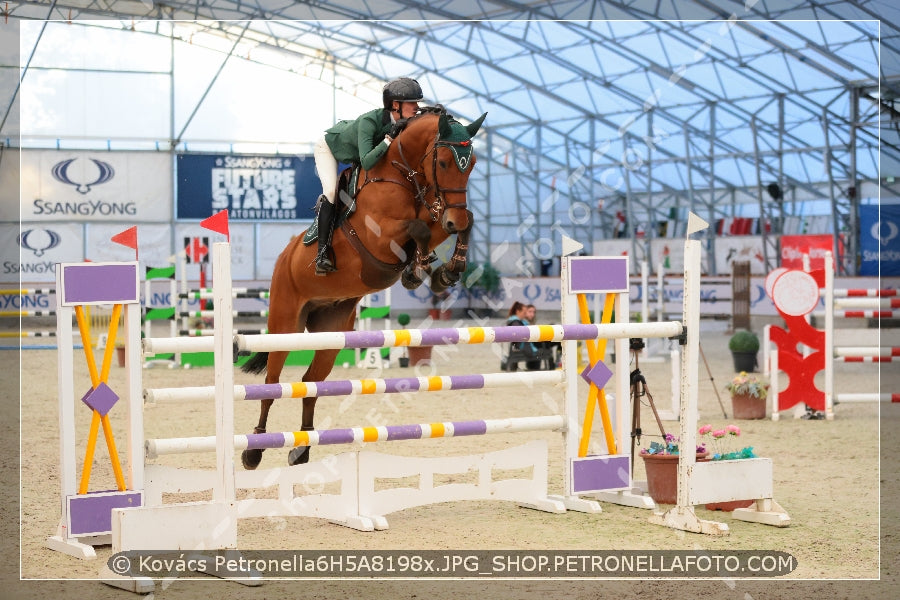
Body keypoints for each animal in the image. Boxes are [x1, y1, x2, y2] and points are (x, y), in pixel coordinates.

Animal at [239, 110, 486, 472]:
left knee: (311, 382)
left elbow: (452, 223)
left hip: (332, 331)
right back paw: (254, 450)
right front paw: (418, 270)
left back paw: (302, 448)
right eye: (442, 162)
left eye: (472, 164)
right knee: (272, 384)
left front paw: (444, 271)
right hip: (284, 326)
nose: (454, 217)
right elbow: (419, 228)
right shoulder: (380, 237)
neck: (402, 174)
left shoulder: (436, 213)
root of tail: (284, 257)